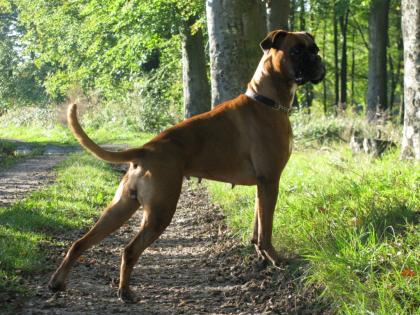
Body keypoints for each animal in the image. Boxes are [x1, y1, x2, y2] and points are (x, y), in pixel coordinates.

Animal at [48, 30, 324, 304]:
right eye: (296, 51)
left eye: (315, 49)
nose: (317, 60)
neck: (265, 100)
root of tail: (146, 149)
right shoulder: (270, 181)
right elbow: (266, 230)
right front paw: (275, 259)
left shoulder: (262, 185)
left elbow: (258, 226)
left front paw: (261, 258)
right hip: (160, 212)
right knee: (129, 250)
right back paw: (125, 292)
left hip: (120, 208)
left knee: (80, 243)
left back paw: (58, 282)